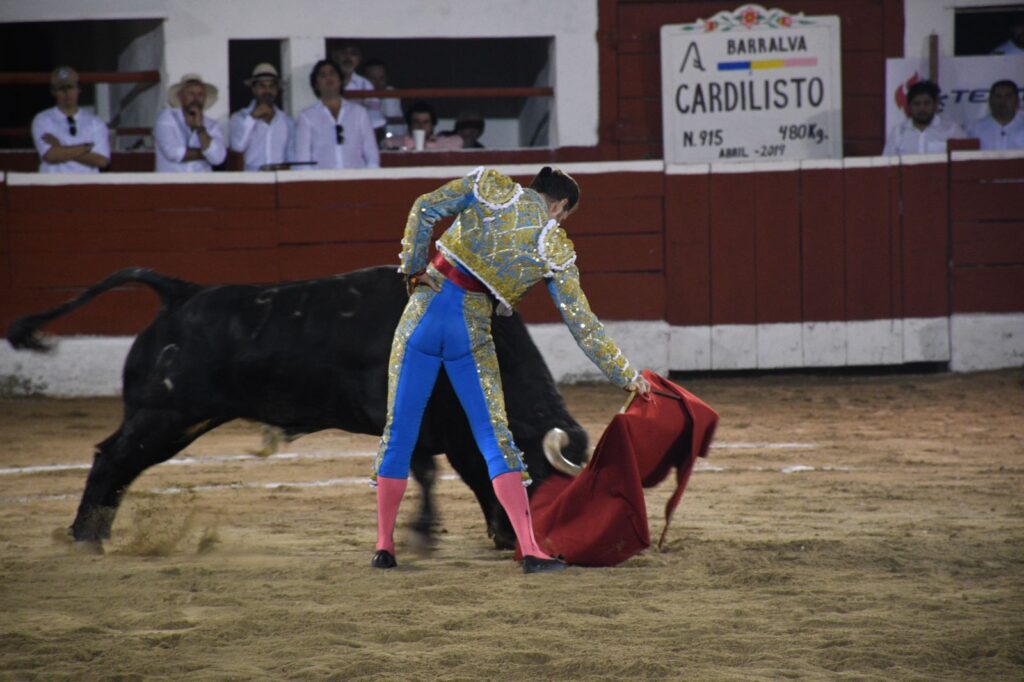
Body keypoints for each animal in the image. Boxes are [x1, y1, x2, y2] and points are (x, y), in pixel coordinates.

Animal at [8, 266, 589, 548]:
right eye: (544, 478)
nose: (543, 542)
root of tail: (180, 293)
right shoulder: (412, 418)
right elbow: (423, 472)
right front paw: (424, 535)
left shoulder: (452, 429)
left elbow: (466, 471)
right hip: (165, 415)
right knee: (112, 459)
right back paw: (86, 536)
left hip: (180, 419)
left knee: (121, 464)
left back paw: (94, 532)